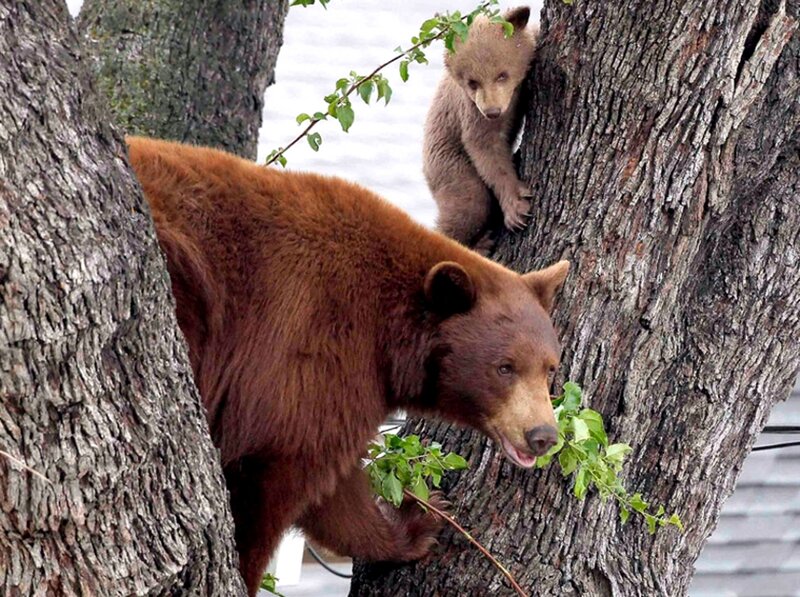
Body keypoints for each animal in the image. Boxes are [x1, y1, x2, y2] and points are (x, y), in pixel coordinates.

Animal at [127, 136, 569, 596]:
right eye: (504, 367)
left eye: (549, 367)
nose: (542, 434)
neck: (391, 334)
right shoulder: (311, 349)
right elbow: (280, 478)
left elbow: (335, 494)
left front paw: (415, 522)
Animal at [423, 6, 537, 254]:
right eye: (472, 82)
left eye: (502, 74)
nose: (493, 111)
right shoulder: (471, 109)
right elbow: (485, 146)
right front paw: (517, 208)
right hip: (448, 164)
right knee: (469, 203)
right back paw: (479, 245)